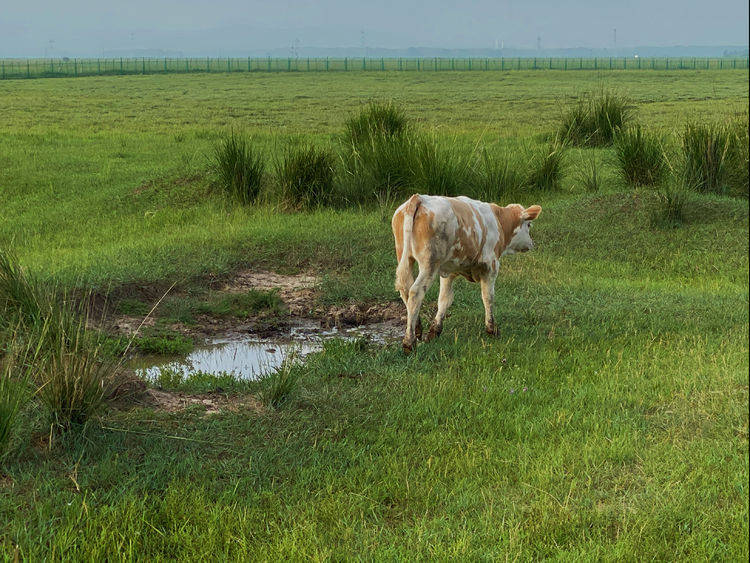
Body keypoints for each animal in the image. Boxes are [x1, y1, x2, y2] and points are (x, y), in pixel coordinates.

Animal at [390, 194, 544, 352]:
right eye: (529, 225)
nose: (531, 243)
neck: (499, 221)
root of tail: (419, 198)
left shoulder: (449, 271)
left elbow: (444, 299)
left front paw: (435, 331)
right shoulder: (491, 267)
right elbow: (488, 297)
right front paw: (492, 329)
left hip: (405, 257)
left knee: (405, 290)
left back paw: (418, 329)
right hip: (429, 264)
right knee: (415, 293)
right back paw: (409, 342)